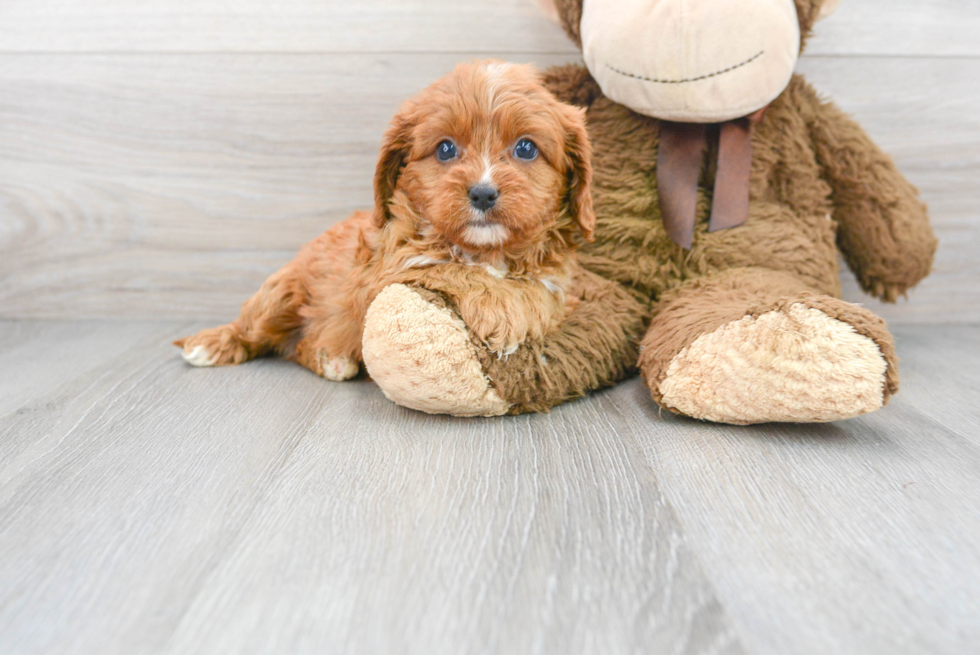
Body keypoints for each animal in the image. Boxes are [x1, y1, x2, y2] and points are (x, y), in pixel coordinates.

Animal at [172, 60, 592, 382]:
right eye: (445, 149)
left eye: (526, 148)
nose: (483, 193)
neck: (488, 251)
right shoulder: (386, 271)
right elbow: (452, 267)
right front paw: (499, 310)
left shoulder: (557, 282)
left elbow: (540, 292)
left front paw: (514, 309)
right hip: (282, 291)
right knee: (251, 329)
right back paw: (212, 344)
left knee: (303, 345)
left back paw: (329, 358)